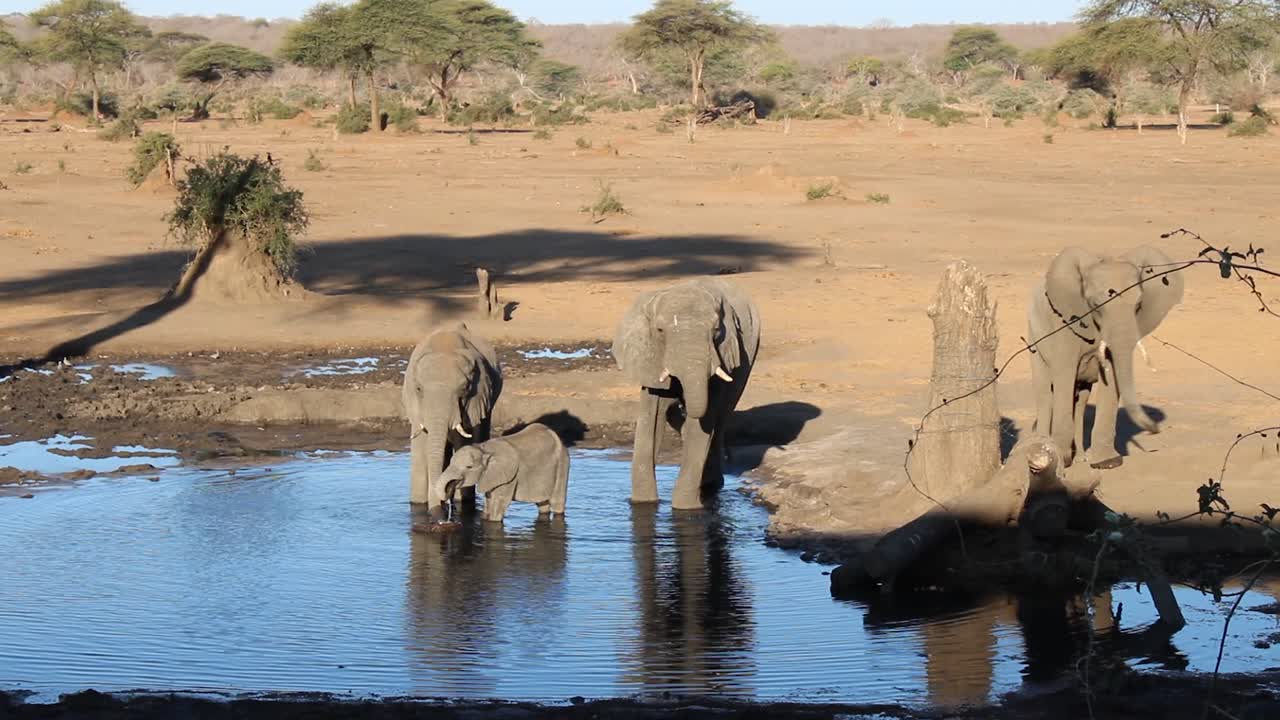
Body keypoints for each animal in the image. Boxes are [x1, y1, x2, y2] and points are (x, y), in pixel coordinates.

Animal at [402, 322, 502, 517]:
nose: (441, 517)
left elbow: (463, 442)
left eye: (463, 390)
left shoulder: (474, 401)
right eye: (418, 389)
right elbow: (422, 450)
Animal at [438, 423, 570, 523]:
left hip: (562, 464)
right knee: (542, 504)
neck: (483, 449)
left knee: (557, 502)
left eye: (469, 467)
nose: (450, 487)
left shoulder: (509, 477)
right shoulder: (491, 476)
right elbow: (489, 499)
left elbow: (499, 502)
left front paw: (493, 521)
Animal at [612, 277, 761, 510]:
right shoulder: (650, 357)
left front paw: (686, 508)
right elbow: (650, 421)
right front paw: (643, 503)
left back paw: (710, 484)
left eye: (716, 330)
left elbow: (702, 424)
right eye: (660, 330)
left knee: (722, 417)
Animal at [1027, 246, 1184, 469]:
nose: (1155, 429)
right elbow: (1064, 376)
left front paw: (1107, 462)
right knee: (1046, 393)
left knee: (1080, 399)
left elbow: (1111, 377)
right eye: (1096, 305)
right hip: (1034, 336)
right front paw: (1062, 460)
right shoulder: (1064, 324)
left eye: (1138, 305)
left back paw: (1081, 457)